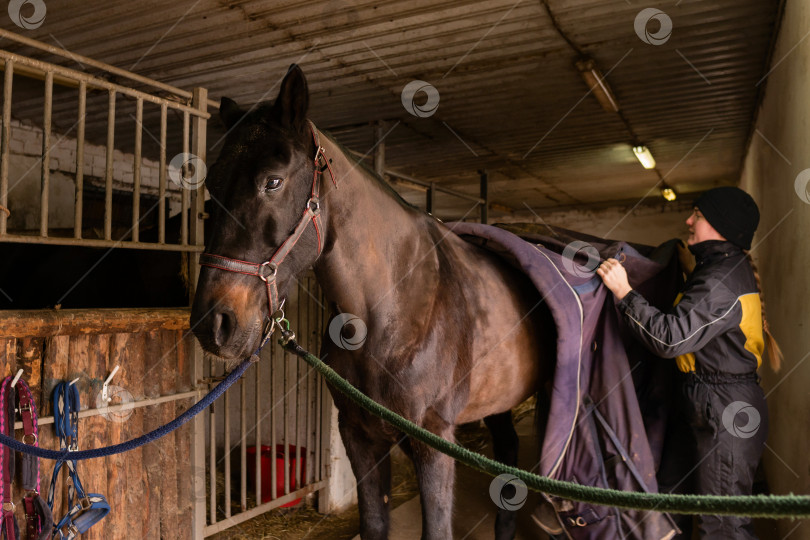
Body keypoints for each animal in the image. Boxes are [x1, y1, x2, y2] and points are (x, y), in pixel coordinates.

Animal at [190, 65, 556, 536]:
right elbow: (375, 523)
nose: (213, 323)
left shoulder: (434, 445)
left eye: (272, 181)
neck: (393, 315)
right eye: (212, 186)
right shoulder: (358, 434)